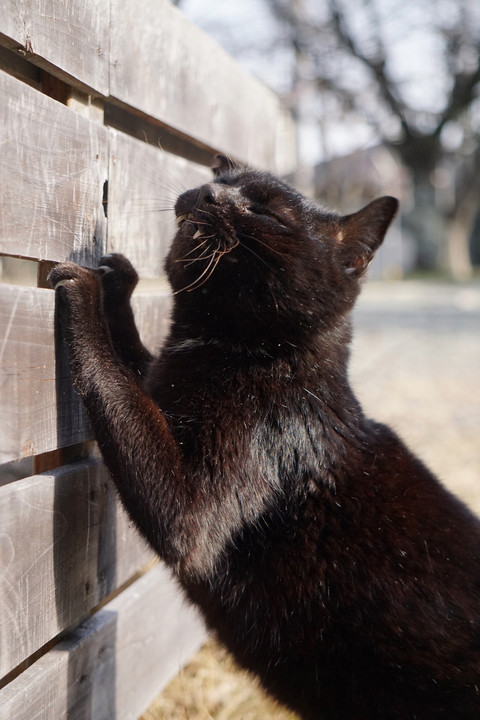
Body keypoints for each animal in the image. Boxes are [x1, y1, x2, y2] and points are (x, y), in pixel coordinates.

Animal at [47, 155, 480, 716]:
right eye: (224, 181)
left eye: (267, 213)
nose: (211, 194)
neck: (261, 358)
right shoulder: (162, 388)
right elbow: (133, 373)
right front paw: (116, 281)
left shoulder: (188, 512)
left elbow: (114, 384)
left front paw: (84, 290)